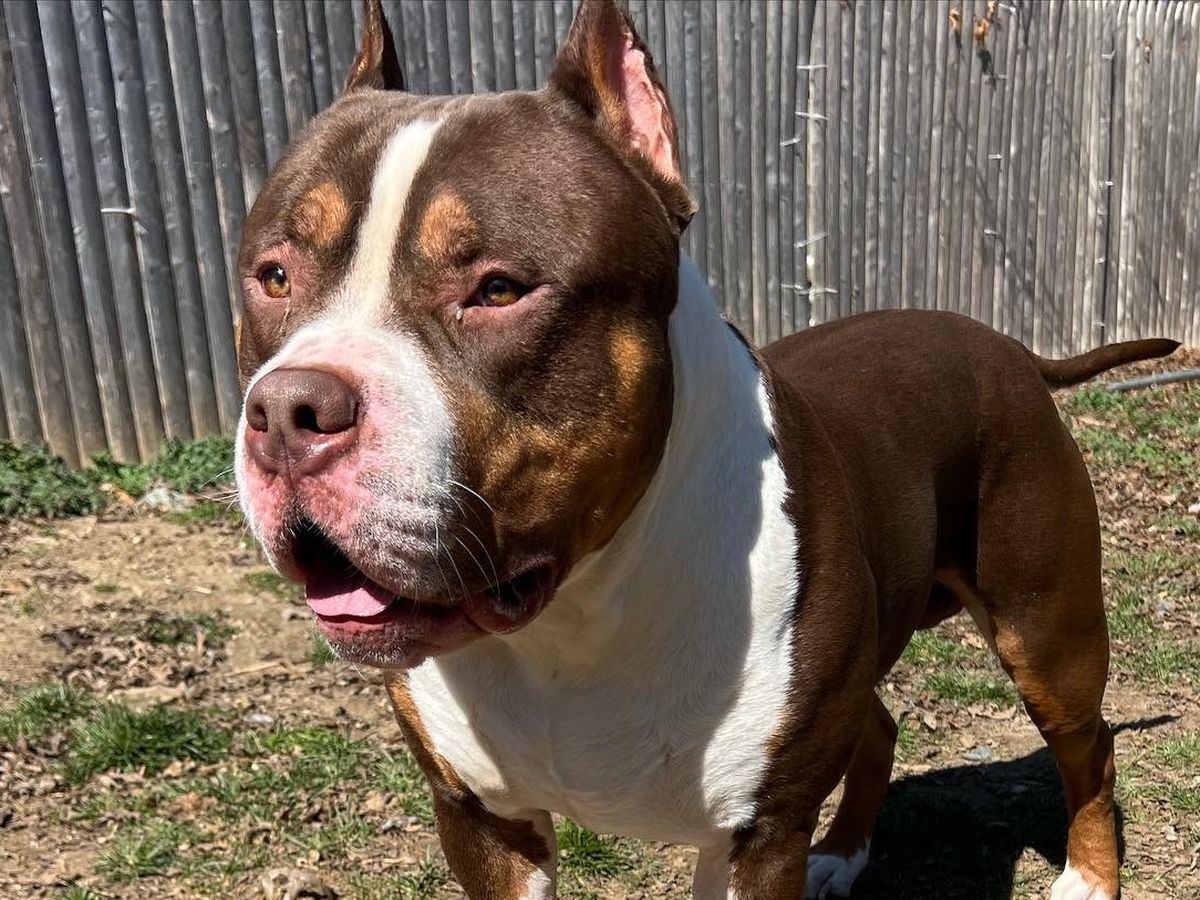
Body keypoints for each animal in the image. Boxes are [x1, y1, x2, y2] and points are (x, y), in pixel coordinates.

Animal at [233, 1, 1178, 897]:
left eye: (498, 289)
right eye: (273, 276)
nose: (287, 410)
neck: (577, 613)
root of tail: (1009, 346)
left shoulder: (755, 838)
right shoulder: (483, 822)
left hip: (1044, 625)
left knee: (1087, 742)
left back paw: (1090, 877)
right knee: (878, 725)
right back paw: (842, 855)